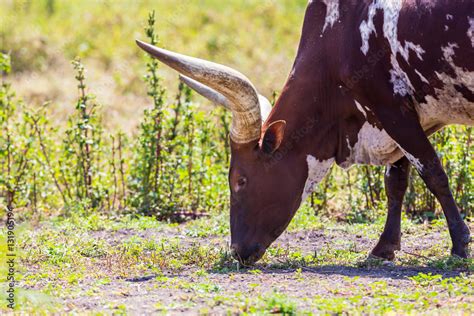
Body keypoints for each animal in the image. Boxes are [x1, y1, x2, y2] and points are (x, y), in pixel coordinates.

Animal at [135, 0, 472, 264]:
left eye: (240, 180)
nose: (237, 252)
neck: (338, 36)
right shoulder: (400, 119)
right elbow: (396, 182)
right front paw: (384, 247)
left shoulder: (392, 111)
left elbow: (433, 173)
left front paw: (459, 245)